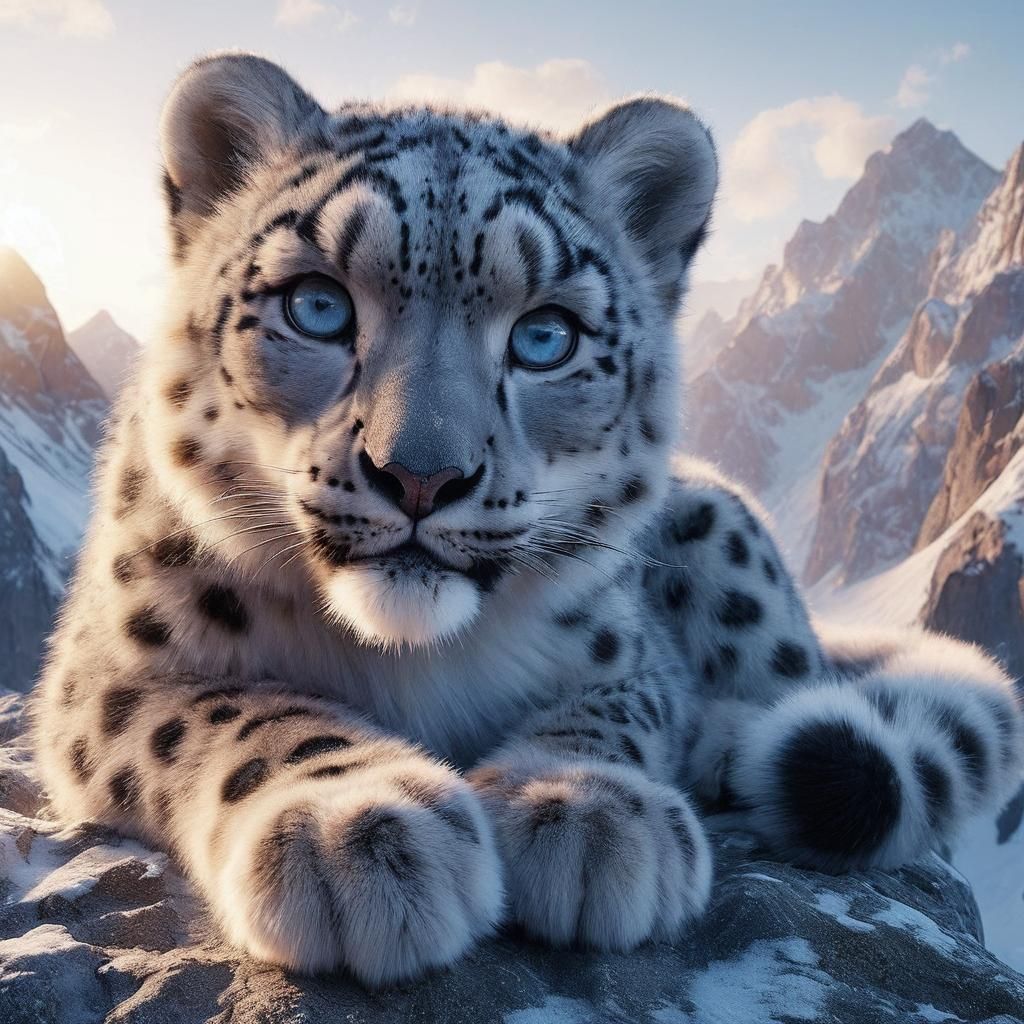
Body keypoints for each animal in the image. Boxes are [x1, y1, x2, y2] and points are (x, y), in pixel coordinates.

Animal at [31, 52, 1024, 987]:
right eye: (316, 305)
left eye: (545, 336)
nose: (421, 476)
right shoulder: (107, 668)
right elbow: (236, 708)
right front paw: (361, 825)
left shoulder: (633, 653)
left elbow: (618, 704)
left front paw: (582, 808)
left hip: (720, 530)